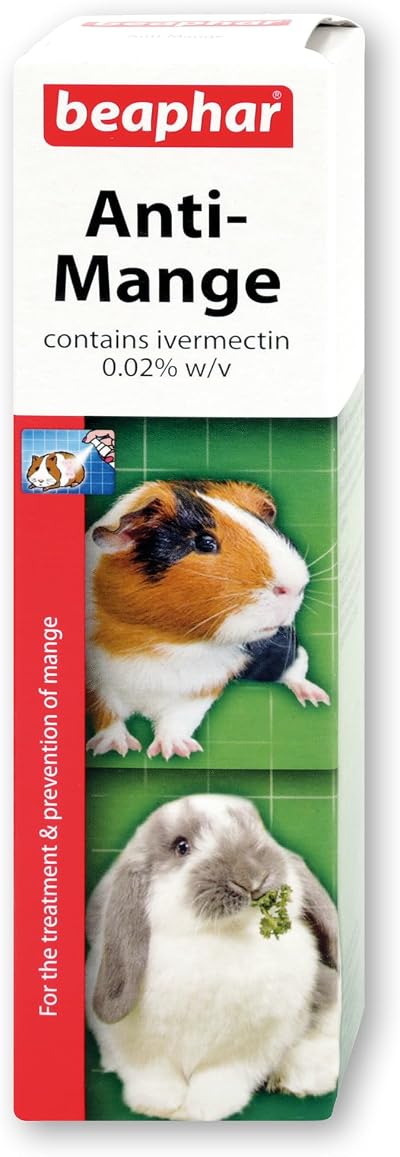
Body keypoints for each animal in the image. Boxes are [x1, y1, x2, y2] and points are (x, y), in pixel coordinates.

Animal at [86, 479, 329, 760]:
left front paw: (176, 751)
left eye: (263, 524)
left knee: (297, 666)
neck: (166, 641)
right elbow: (107, 714)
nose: (296, 586)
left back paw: (316, 697)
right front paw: (115, 748)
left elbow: (179, 719)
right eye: (205, 543)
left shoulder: (202, 687)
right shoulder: (98, 685)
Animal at [86, 794, 340, 1121]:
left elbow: (220, 1078)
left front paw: (203, 1109)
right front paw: (158, 1105)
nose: (252, 877)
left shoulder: (247, 1050)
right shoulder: (141, 1051)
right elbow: (153, 1076)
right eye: (181, 846)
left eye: (257, 829)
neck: (219, 936)